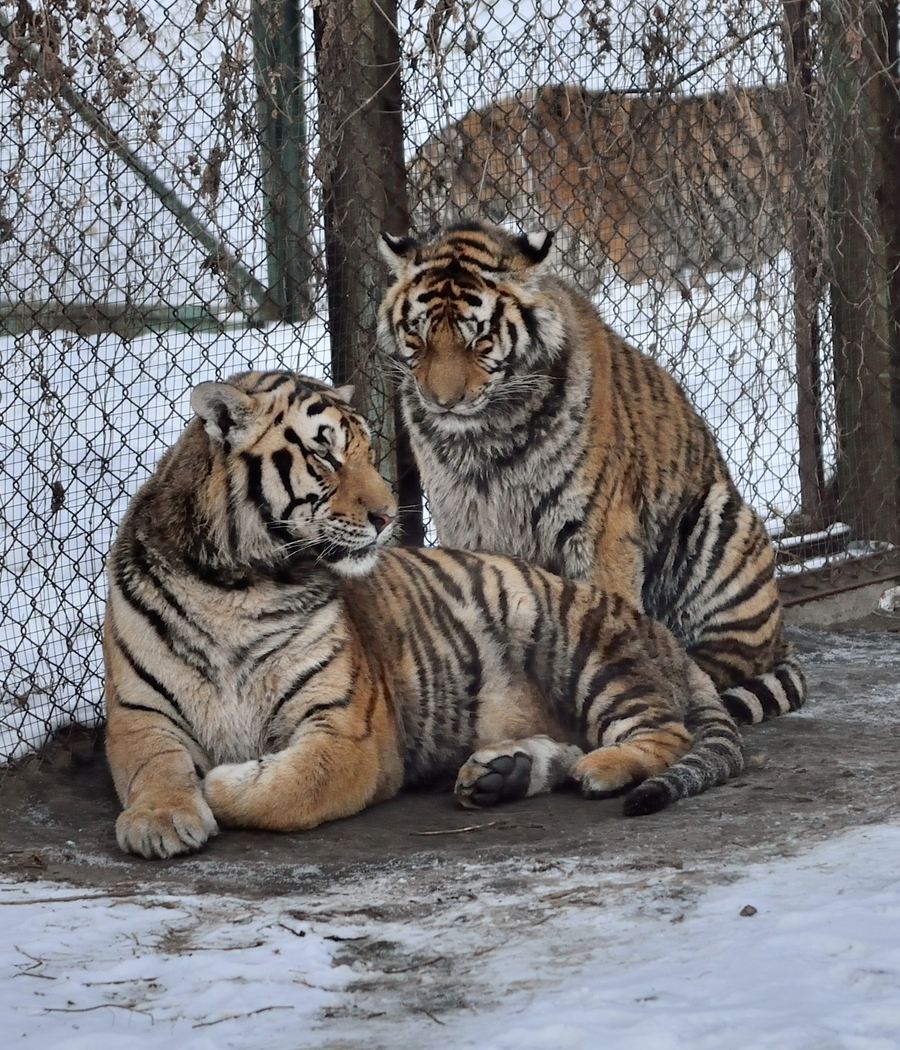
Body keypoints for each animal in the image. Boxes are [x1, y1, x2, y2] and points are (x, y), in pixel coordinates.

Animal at [103, 369, 743, 858]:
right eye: (324, 454)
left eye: (367, 450)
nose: (389, 516)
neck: (237, 583)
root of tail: (661, 633)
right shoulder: (138, 712)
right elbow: (153, 767)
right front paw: (160, 820)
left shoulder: (348, 729)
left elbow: (288, 788)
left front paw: (220, 781)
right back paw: (504, 774)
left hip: (581, 646)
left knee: (667, 732)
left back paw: (600, 768)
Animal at [377, 221, 806, 726]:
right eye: (418, 336)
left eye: (478, 341)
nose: (442, 401)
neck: (484, 439)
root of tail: (782, 639)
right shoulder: (464, 523)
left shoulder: (599, 531)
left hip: (720, 517)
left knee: (727, 660)